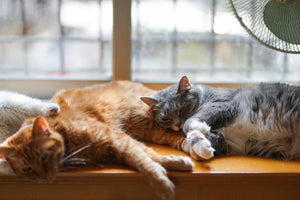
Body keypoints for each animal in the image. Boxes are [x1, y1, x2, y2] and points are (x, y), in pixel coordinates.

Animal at [0, 81, 195, 200]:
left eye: (43, 157)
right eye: (27, 169)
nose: (44, 178)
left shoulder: (116, 137)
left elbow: (144, 158)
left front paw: (163, 182)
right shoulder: (117, 145)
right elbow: (142, 156)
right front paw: (168, 167)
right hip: (155, 130)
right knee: (177, 137)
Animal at [142, 76, 300, 161]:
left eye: (182, 108)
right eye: (166, 118)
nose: (177, 124)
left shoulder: (223, 104)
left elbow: (190, 122)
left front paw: (199, 127)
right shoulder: (224, 140)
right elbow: (195, 137)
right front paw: (204, 149)